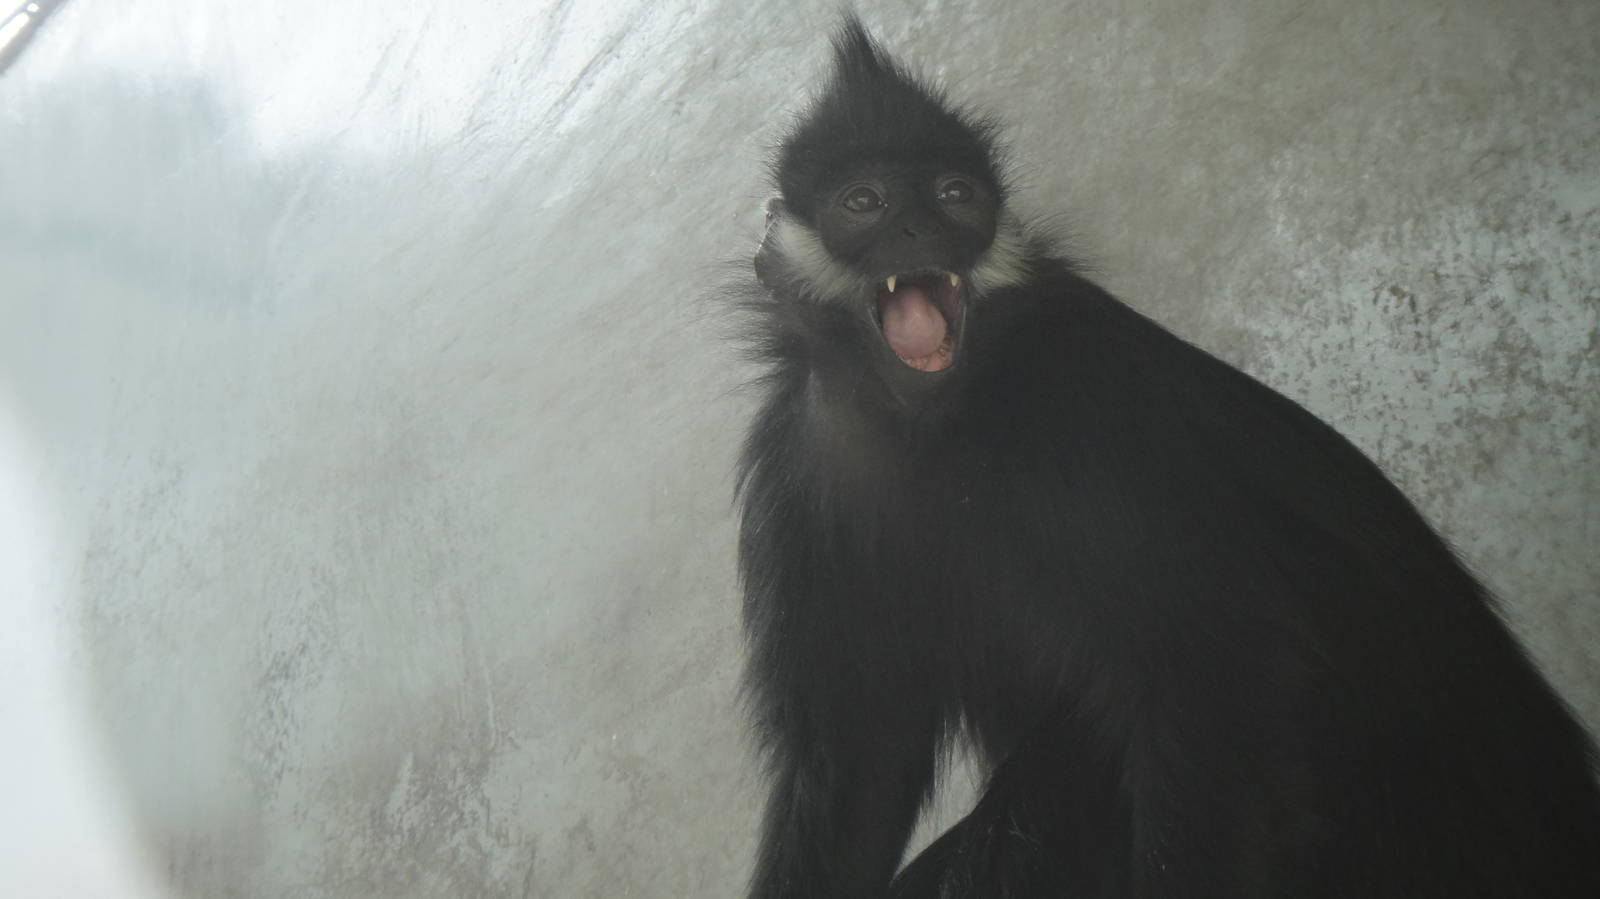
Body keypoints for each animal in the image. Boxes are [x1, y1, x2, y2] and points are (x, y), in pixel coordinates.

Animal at [732, 17, 1600, 899]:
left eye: (954, 196)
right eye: (864, 203)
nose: (924, 231)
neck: (927, 426)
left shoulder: (1078, 402)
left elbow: (1219, 674)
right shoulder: (795, 465)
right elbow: (854, 772)